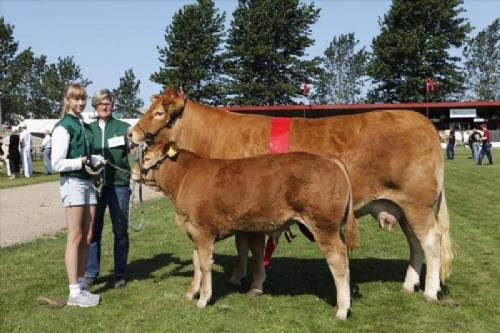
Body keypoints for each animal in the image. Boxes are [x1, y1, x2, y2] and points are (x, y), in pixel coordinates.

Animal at [129, 86, 454, 300]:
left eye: (158, 112)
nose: (131, 134)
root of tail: (423, 120)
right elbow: (243, 246)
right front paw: (238, 276)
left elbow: (251, 247)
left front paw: (253, 283)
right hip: (401, 207)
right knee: (415, 245)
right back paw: (410, 284)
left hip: (417, 205)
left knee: (431, 242)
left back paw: (429, 291)